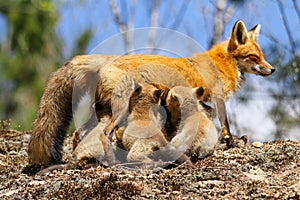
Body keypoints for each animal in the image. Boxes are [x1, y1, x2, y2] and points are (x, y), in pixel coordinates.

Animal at [25, 19, 274, 171]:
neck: (222, 63)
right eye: (254, 57)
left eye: (262, 56)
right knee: (104, 134)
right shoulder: (218, 97)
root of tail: (105, 60)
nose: (272, 69)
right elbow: (225, 125)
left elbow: (208, 116)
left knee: (79, 133)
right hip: (119, 110)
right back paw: (112, 161)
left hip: (103, 111)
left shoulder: (203, 100)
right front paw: (232, 142)